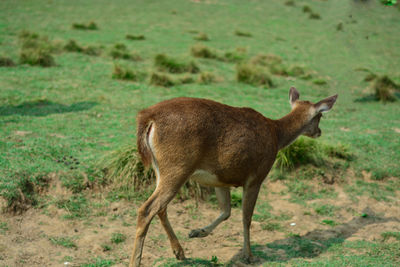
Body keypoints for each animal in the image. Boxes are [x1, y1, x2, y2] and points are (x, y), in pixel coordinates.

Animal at [130, 88, 338, 267]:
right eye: (320, 116)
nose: (319, 132)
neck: (276, 135)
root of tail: (148, 118)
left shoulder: (221, 178)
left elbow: (226, 211)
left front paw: (198, 232)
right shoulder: (257, 176)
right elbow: (246, 217)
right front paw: (249, 255)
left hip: (160, 168)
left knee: (160, 208)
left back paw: (179, 252)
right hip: (178, 166)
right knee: (147, 209)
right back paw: (136, 261)